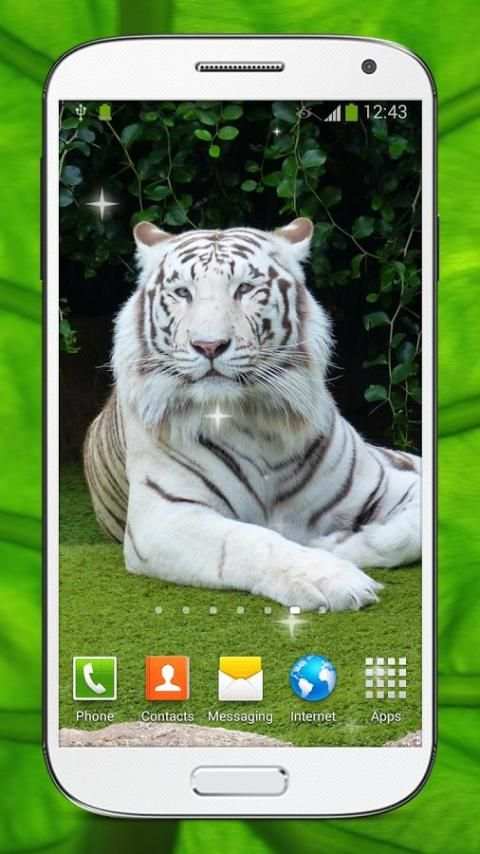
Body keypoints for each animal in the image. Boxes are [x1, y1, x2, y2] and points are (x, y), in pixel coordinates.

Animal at [83, 217, 421, 612]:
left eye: (244, 289)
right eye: (183, 293)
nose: (209, 345)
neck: (258, 421)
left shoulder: (394, 482)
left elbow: (413, 530)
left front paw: (339, 544)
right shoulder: (163, 517)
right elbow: (251, 541)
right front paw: (335, 577)